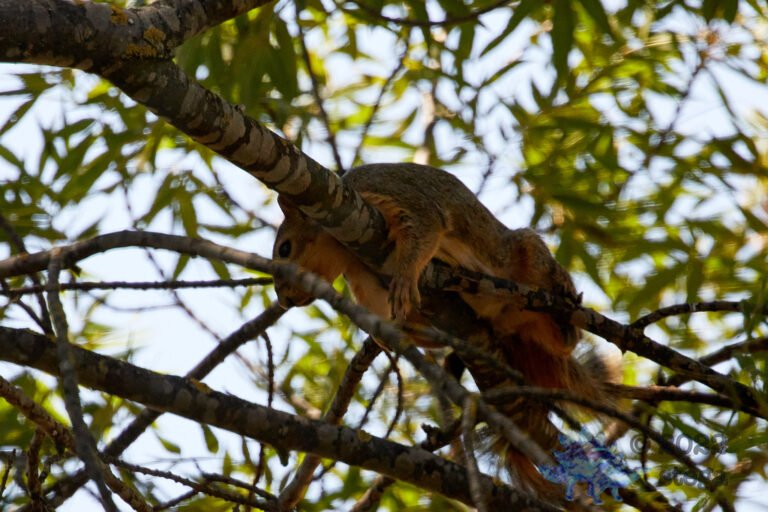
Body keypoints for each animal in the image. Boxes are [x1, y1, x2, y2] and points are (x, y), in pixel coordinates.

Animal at [272, 162, 621, 502]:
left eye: (285, 248)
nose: (285, 300)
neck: (348, 252)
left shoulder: (390, 193)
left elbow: (424, 227)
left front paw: (406, 276)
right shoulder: (363, 279)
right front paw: (382, 334)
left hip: (527, 258)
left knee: (561, 320)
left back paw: (564, 316)